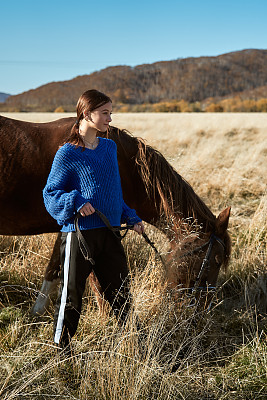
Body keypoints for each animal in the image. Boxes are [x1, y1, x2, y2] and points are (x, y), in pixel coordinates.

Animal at [0, 114, 232, 314]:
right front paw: (107, 321)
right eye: (214, 261)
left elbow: (54, 267)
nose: (201, 310)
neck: (125, 169)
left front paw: (37, 311)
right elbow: (95, 282)